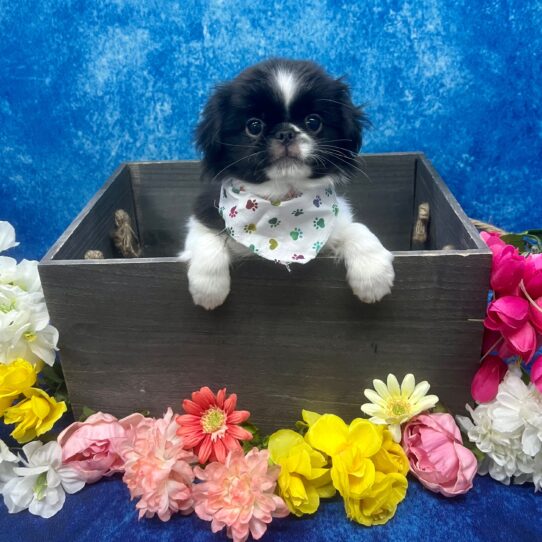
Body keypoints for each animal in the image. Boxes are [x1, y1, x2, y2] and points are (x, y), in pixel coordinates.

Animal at [182, 59, 396, 310]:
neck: (281, 201)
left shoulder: (337, 223)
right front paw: (209, 289)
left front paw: (373, 275)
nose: (285, 133)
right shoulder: (204, 215)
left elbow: (356, 229)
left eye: (313, 122)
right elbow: (207, 237)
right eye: (254, 126)